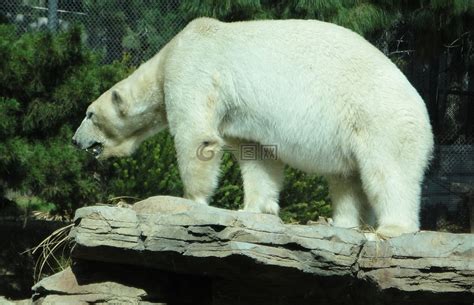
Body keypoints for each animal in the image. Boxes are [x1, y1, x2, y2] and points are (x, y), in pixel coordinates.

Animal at [71, 17, 434, 238]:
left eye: (89, 114)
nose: (75, 141)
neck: (167, 55)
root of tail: (422, 108)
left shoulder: (193, 70)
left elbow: (197, 137)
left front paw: (192, 200)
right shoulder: (243, 116)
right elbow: (258, 156)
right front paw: (255, 208)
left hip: (378, 118)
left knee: (388, 172)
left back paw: (393, 228)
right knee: (346, 179)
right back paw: (343, 223)